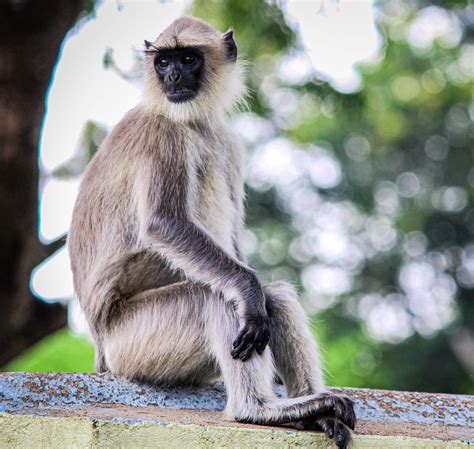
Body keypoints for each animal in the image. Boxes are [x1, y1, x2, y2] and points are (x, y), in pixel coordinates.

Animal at [67, 15, 356, 446]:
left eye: (188, 59)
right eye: (163, 62)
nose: (172, 77)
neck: (192, 120)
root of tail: (101, 353)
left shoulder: (228, 143)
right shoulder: (163, 132)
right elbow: (164, 224)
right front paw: (248, 293)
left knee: (273, 295)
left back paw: (312, 410)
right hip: (131, 345)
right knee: (216, 296)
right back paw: (258, 410)